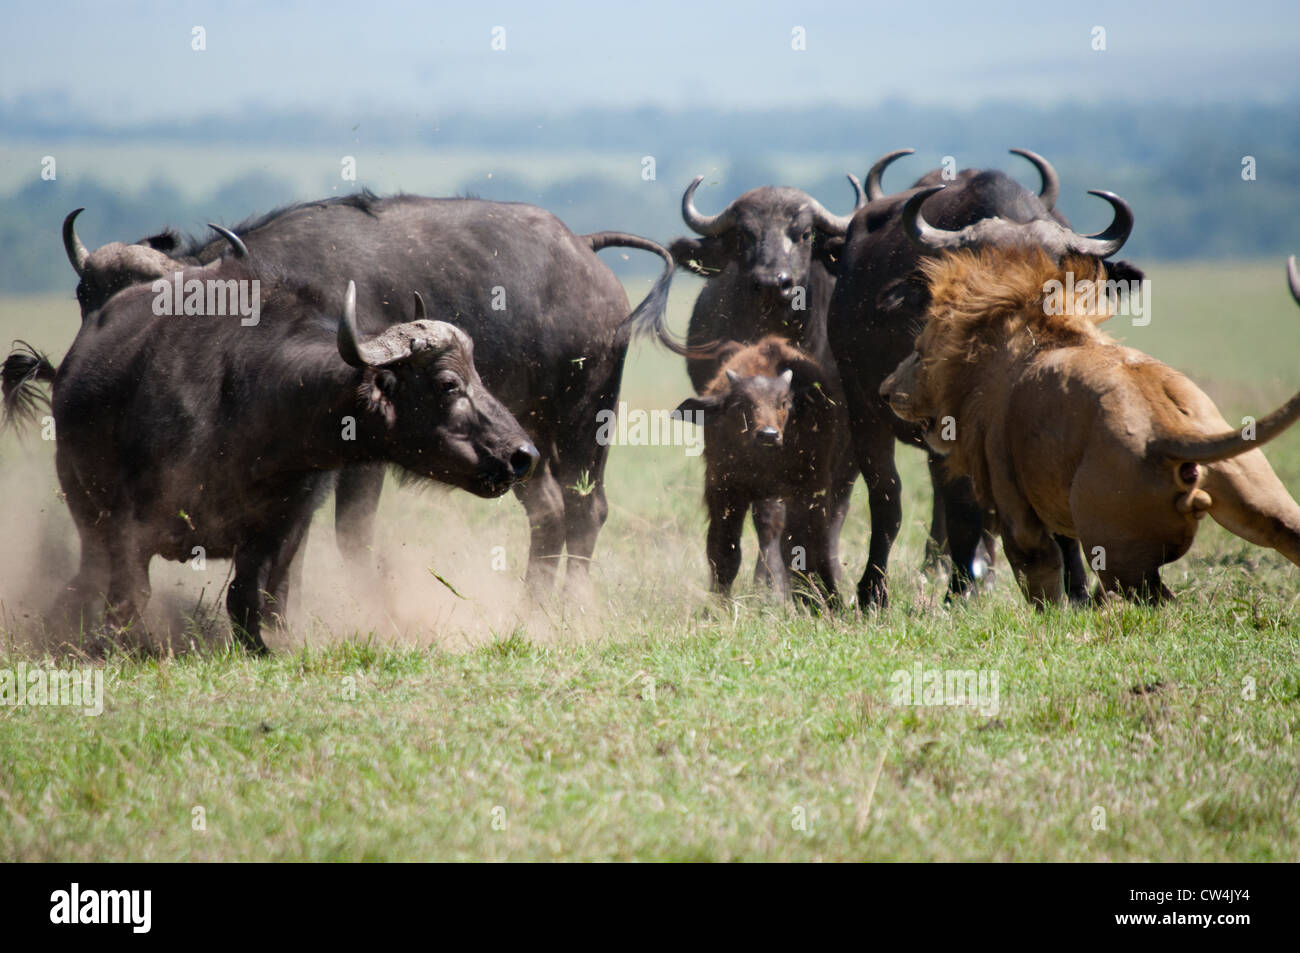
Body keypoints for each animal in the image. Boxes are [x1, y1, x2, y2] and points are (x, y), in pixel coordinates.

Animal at [1, 241, 538, 650]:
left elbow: (248, 597)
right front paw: (115, 647)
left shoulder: (281, 526)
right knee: (90, 573)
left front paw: (263, 648)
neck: (249, 402)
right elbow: (131, 596)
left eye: (479, 376)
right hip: (81, 500)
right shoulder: (130, 524)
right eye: (448, 384)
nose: (522, 455)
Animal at [61, 191, 676, 595]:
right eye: (84, 298)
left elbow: (345, 538)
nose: (85, 364)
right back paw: (532, 605)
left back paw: (570, 605)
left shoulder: (359, 456)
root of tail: (585, 249)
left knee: (585, 509)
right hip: (525, 439)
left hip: (583, 421)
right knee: (547, 509)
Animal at [676, 338, 847, 598]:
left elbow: (803, 546)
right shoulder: (724, 491)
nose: (768, 434)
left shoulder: (808, 489)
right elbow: (724, 551)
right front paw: (719, 602)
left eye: (784, 403)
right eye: (741, 403)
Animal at [826, 151, 1144, 605]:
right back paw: (876, 591)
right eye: (985, 278)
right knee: (889, 498)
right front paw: (959, 592)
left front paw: (1078, 592)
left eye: (1057, 276)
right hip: (864, 412)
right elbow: (962, 509)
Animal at [878, 245, 1300, 603]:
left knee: (1157, 601)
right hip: (1260, 494)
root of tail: (1166, 430)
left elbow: (1041, 581)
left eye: (919, 353)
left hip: (1115, 549)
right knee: (1285, 530)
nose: (884, 391)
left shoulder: (1015, 509)